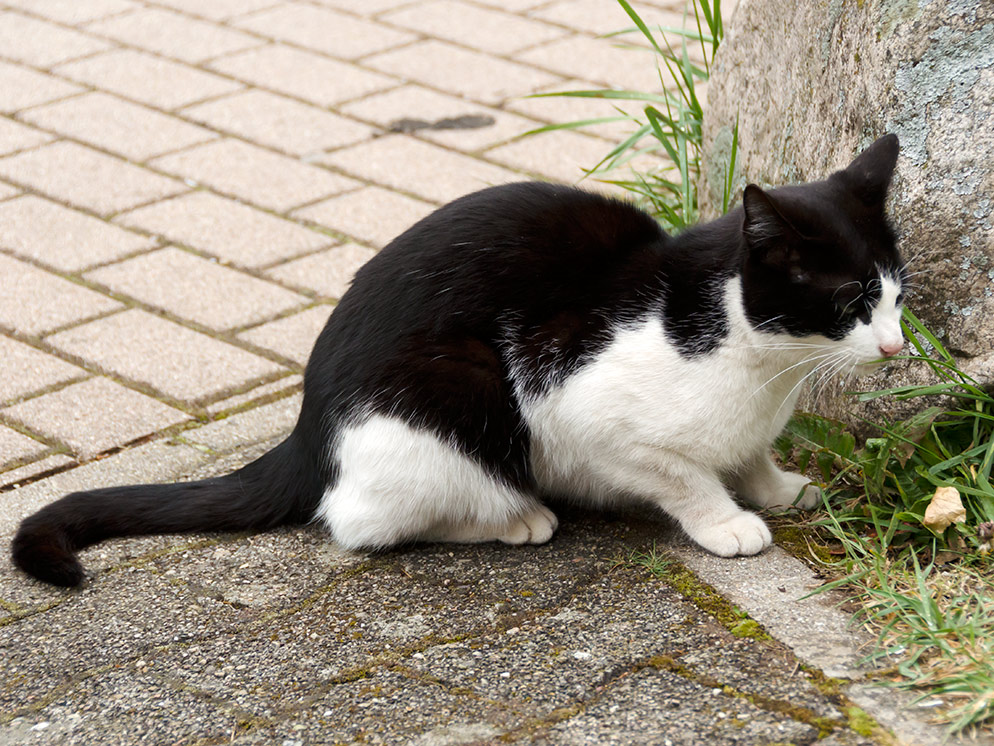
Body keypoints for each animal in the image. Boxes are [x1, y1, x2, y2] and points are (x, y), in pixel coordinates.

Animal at [11, 134, 904, 588]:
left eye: (898, 291)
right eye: (851, 300)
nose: (896, 346)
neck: (758, 360)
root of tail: (307, 429)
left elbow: (747, 455)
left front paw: (777, 488)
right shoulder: (581, 406)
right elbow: (682, 476)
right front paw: (727, 522)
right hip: (458, 396)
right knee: (360, 520)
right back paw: (516, 518)